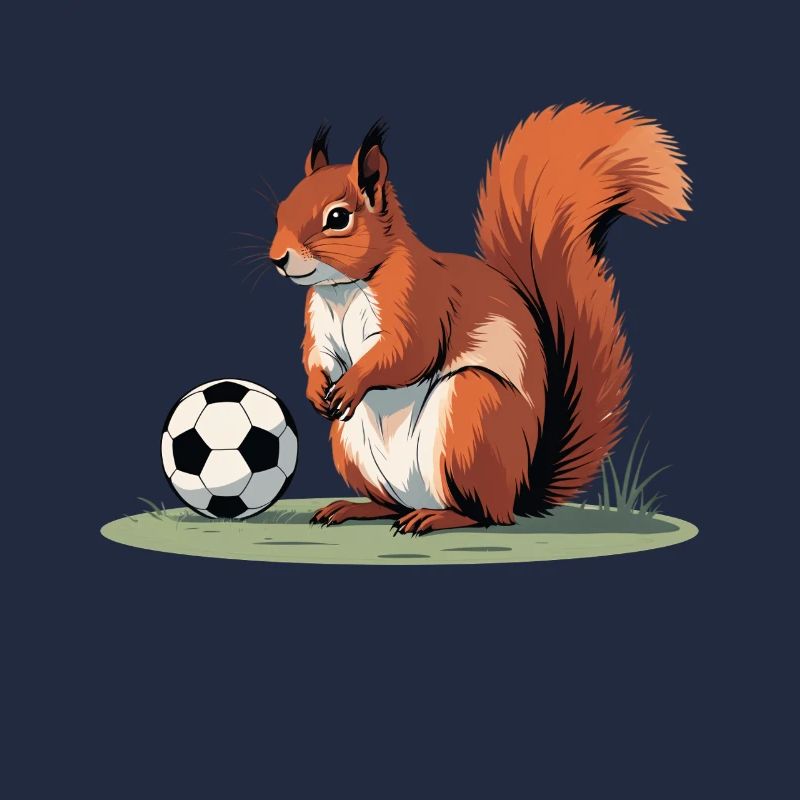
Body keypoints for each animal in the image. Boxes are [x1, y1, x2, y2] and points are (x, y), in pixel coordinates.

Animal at [268, 102, 691, 535]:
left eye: (338, 218)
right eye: (281, 209)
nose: (277, 258)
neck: (345, 288)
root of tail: (520, 491)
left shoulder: (421, 303)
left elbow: (407, 354)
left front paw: (353, 384)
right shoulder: (320, 325)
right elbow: (318, 357)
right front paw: (316, 389)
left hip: (473, 413)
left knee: (485, 515)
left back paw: (436, 518)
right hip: (351, 446)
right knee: (392, 504)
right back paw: (356, 508)